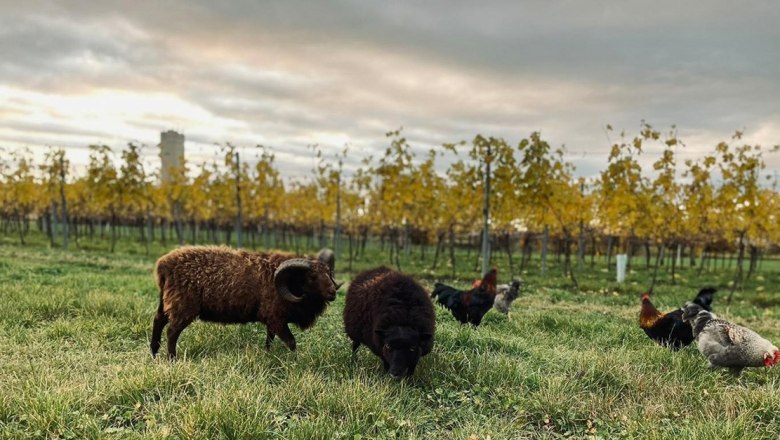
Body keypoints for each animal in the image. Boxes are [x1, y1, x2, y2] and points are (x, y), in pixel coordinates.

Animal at [150, 245, 340, 359]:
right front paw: (296, 361)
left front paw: (267, 354)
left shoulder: (271, 320)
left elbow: (269, 339)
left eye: (328, 272)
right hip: (183, 307)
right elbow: (291, 342)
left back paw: (153, 352)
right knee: (171, 332)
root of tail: (163, 265)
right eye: (311, 277)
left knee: (158, 321)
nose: (333, 292)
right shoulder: (276, 318)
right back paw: (172, 359)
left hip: (167, 301)